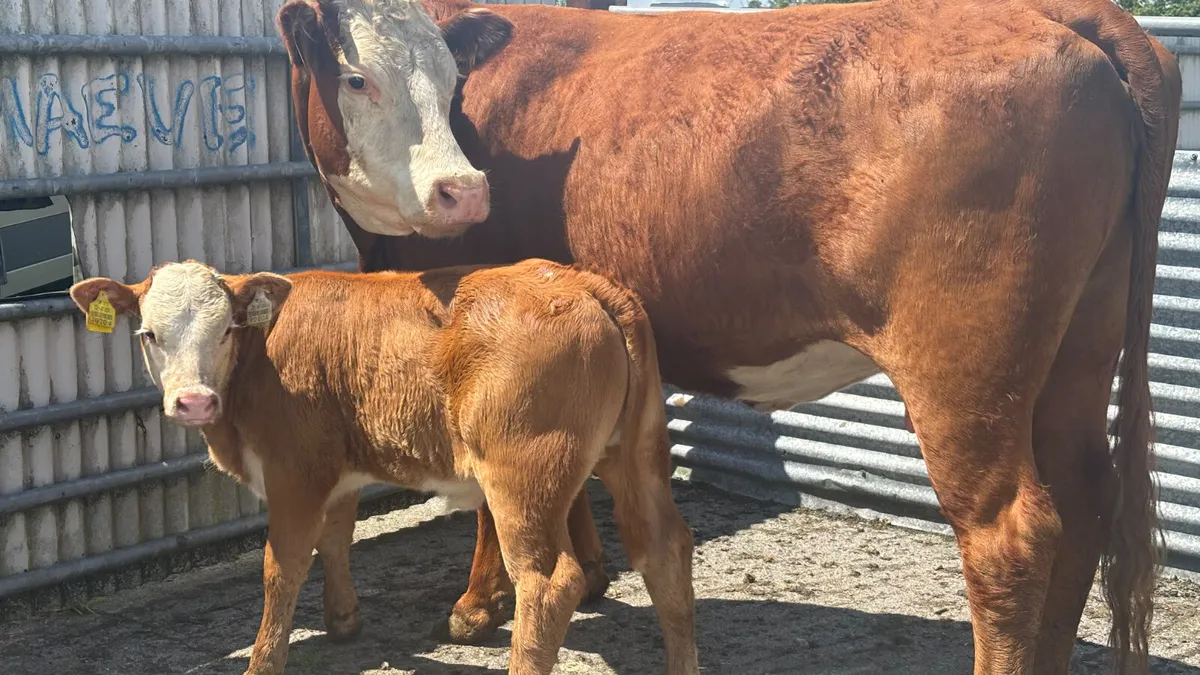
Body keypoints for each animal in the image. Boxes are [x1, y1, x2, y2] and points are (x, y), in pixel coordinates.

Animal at [68, 259, 698, 675]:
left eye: (226, 328)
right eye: (149, 334)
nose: (194, 401)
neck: (258, 362)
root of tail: (581, 280)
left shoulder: (295, 471)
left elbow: (282, 567)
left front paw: (263, 661)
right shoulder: (337, 470)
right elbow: (336, 539)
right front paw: (344, 621)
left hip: (524, 479)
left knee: (548, 584)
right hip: (635, 455)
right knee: (666, 550)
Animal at [275, 0, 1183, 672]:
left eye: (450, 80)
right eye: (356, 76)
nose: (460, 190)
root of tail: (1070, 16)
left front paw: (473, 606)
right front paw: (592, 575)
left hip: (965, 364)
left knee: (1011, 534)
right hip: (1080, 343)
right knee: (1087, 495)